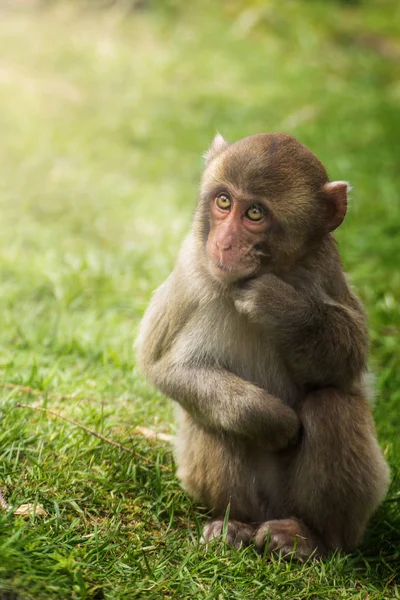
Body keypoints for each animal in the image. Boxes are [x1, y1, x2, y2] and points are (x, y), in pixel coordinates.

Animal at [136, 134, 390, 560]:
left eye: (254, 213)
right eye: (224, 202)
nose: (223, 243)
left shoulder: (325, 268)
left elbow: (349, 360)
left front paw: (276, 303)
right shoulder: (191, 269)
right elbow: (159, 365)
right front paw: (272, 421)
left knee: (332, 405)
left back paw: (313, 539)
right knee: (209, 417)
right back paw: (234, 525)